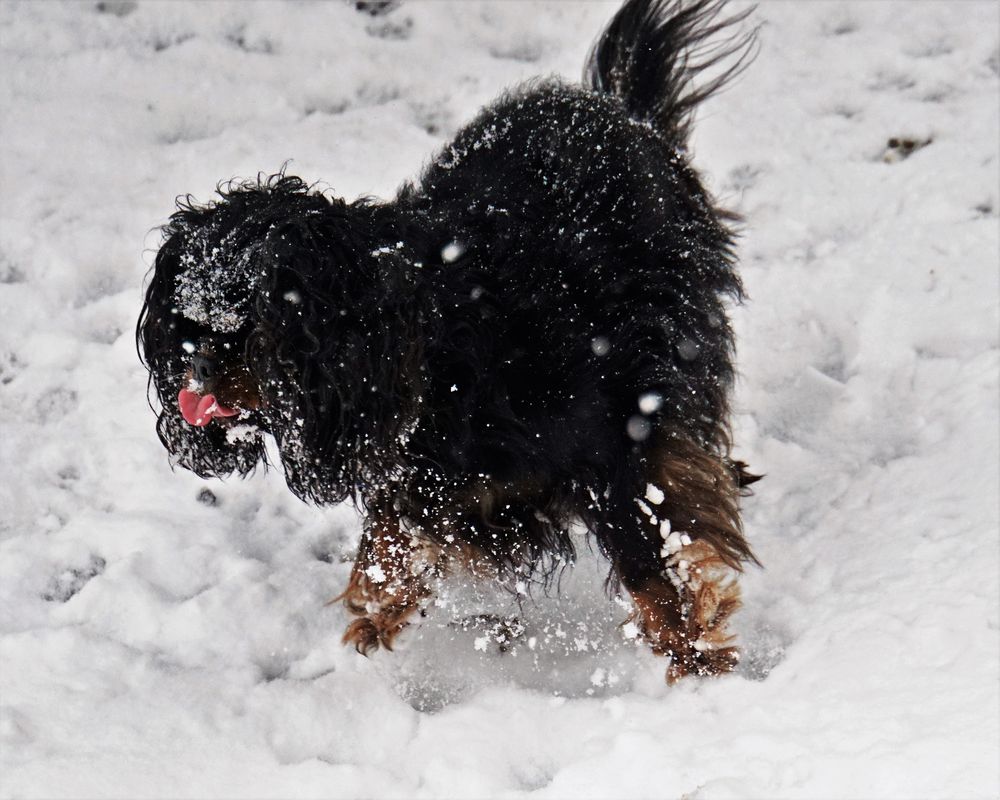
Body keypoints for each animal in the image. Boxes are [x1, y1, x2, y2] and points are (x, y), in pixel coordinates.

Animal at [135, 0, 756, 684]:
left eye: (250, 334)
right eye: (186, 328)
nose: (194, 369)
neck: (428, 337)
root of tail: (617, 108)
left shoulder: (613, 435)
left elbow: (649, 557)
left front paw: (695, 661)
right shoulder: (411, 461)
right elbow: (390, 534)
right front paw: (377, 610)